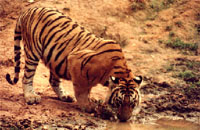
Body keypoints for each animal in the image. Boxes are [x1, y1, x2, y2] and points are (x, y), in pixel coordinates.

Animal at [5, 6, 142, 121]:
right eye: (119, 102)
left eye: (132, 103)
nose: (124, 119)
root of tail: (28, 9)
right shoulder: (76, 61)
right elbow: (81, 91)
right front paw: (89, 106)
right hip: (33, 52)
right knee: (26, 77)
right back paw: (31, 97)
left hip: (55, 59)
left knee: (53, 80)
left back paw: (65, 96)